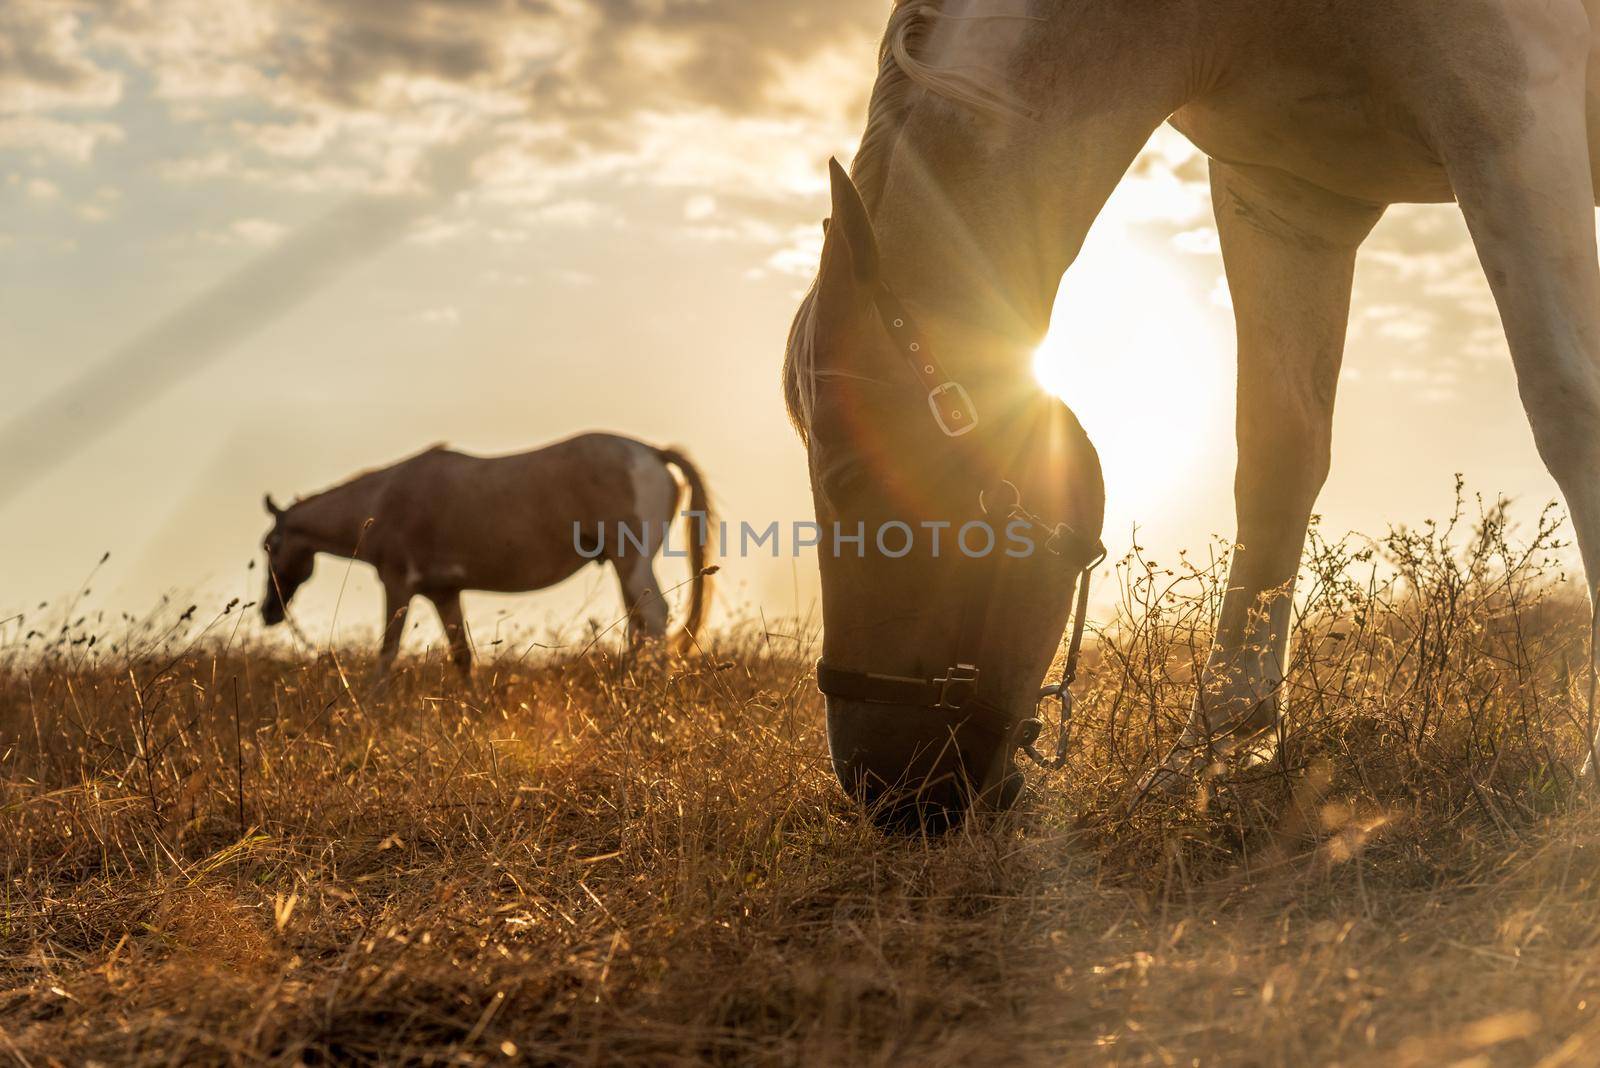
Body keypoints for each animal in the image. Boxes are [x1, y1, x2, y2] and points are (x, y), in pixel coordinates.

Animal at [262, 428, 713, 671]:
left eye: (270, 545)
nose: (269, 612)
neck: (384, 499)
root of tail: (651, 451)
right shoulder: (444, 594)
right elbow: (463, 658)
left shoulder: (397, 586)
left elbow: (387, 653)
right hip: (625, 569)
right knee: (639, 625)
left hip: (632, 563)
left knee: (653, 618)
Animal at [784, 0, 1600, 831]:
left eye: (850, 477)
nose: (885, 793)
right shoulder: (1287, 196)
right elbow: (1276, 455)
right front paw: (1221, 746)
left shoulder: (1510, 117)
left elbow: (1571, 410)